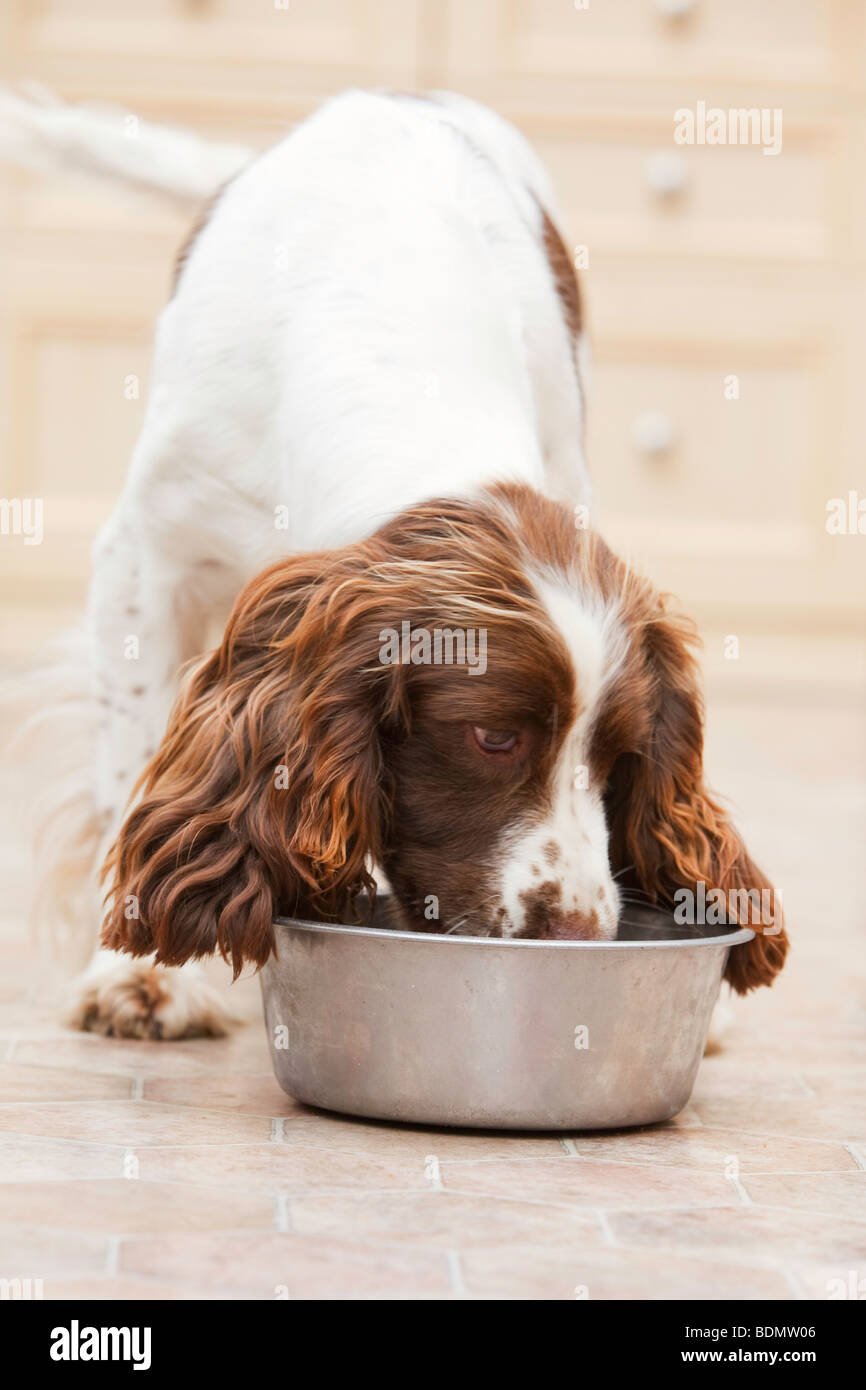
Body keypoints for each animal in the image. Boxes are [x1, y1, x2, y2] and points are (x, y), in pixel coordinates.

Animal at [0, 86, 783, 1039]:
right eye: (492, 737)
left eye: (620, 755)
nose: (578, 934)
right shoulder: (147, 556)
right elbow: (129, 761)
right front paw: (140, 973)